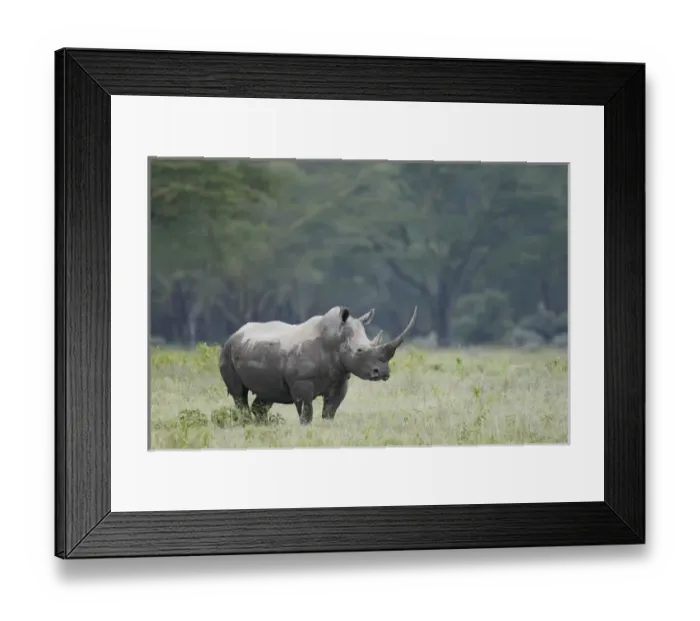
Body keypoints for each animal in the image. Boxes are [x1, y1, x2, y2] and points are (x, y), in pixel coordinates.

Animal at [219, 305, 418, 425]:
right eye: (359, 351)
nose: (382, 373)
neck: (335, 340)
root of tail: (234, 333)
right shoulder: (301, 382)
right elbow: (306, 413)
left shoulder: (340, 379)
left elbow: (330, 411)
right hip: (227, 351)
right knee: (239, 394)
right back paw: (247, 424)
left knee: (266, 395)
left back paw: (263, 426)